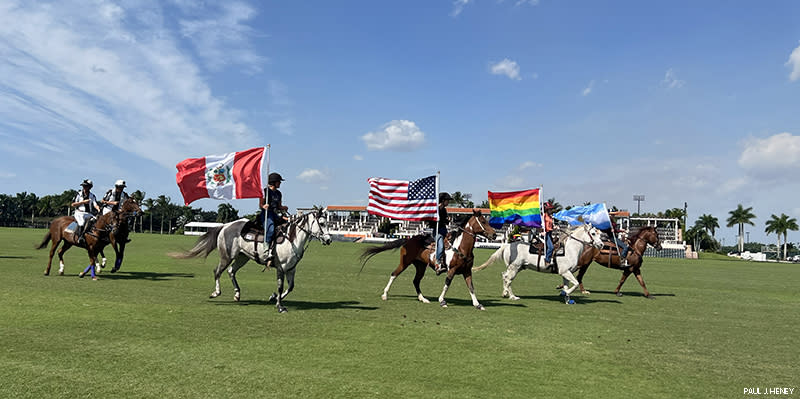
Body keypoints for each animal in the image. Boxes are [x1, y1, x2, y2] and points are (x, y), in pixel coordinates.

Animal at [169, 208, 332, 314]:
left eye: (328, 223)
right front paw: (280, 306)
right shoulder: (281, 268)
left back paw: (237, 294)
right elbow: (281, 287)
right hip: (227, 256)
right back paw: (216, 293)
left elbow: (290, 287)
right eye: (322, 223)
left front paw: (273, 298)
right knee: (217, 271)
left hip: (243, 257)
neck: (291, 239)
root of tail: (225, 226)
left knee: (231, 271)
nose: (329, 240)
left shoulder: (291, 269)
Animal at [360, 211, 496, 310]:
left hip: (420, 266)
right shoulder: (451, 270)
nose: (494, 234)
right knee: (394, 274)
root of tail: (408, 240)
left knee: (415, 281)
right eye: (483, 221)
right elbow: (447, 284)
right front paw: (442, 301)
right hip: (405, 262)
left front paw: (477, 304)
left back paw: (423, 298)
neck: (460, 247)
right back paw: (385, 294)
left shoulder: (467, 271)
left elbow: (471, 287)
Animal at [472, 225, 604, 304]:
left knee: (504, 276)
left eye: (599, 233)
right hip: (514, 268)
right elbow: (575, 284)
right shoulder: (565, 272)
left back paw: (505, 293)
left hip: (516, 268)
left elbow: (568, 285)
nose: (601, 245)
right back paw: (513, 296)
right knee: (508, 280)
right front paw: (566, 294)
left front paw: (567, 299)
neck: (569, 250)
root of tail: (507, 244)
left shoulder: (566, 273)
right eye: (593, 233)